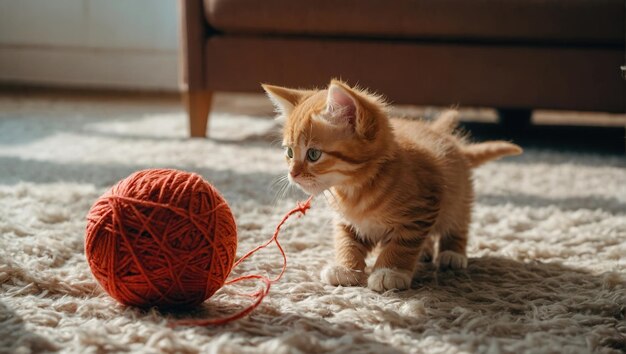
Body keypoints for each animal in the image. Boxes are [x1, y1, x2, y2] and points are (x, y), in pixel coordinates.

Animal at [264, 81, 520, 294]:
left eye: (313, 154)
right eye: (289, 152)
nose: (292, 174)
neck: (355, 190)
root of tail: (446, 137)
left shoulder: (422, 209)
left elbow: (402, 245)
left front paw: (390, 272)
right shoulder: (347, 220)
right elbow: (346, 241)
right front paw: (346, 268)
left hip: (458, 196)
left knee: (457, 224)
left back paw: (452, 254)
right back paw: (425, 251)